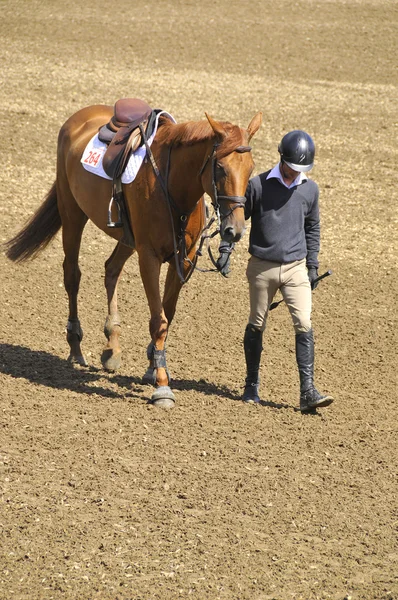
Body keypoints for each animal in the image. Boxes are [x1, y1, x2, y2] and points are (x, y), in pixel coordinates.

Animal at [5, 98, 264, 408]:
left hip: (125, 238)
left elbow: (167, 313)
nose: (234, 230)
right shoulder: (149, 257)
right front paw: (162, 386)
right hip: (72, 213)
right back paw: (75, 347)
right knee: (72, 275)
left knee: (111, 269)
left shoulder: (184, 259)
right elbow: (158, 320)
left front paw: (154, 366)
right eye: (221, 167)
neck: (173, 185)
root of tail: (79, 117)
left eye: (251, 168)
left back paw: (112, 346)